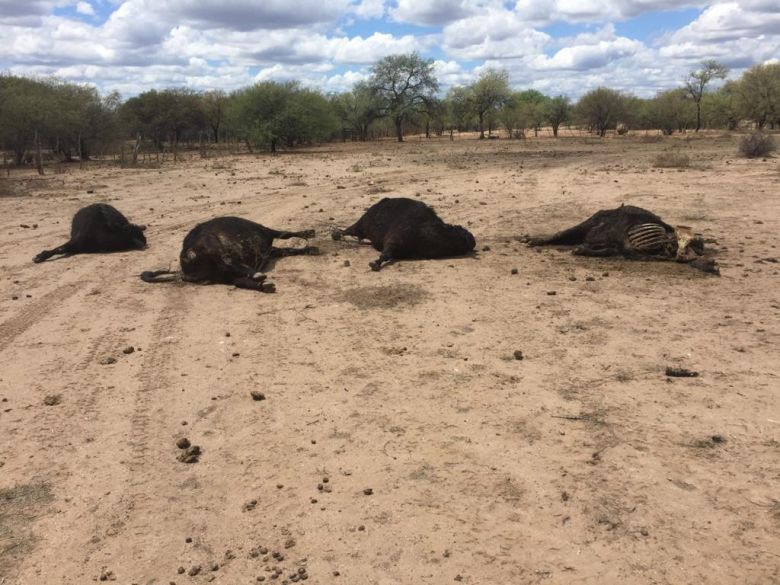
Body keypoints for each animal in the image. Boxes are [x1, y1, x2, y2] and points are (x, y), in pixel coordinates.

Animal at [142, 214, 318, 292]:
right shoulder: (267, 232)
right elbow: (285, 233)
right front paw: (308, 234)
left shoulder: (271, 251)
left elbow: (288, 248)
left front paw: (310, 248)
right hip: (218, 252)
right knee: (231, 264)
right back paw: (258, 276)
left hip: (223, 276)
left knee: (239, 280)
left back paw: (263, 285)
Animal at [330, 196, 476, 270]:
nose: (472, 242)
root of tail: (383, 201)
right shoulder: (394, 240)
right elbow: (385, 255)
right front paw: (376, 263)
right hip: (361, 223)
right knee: (349, 230)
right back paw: (336, 234)